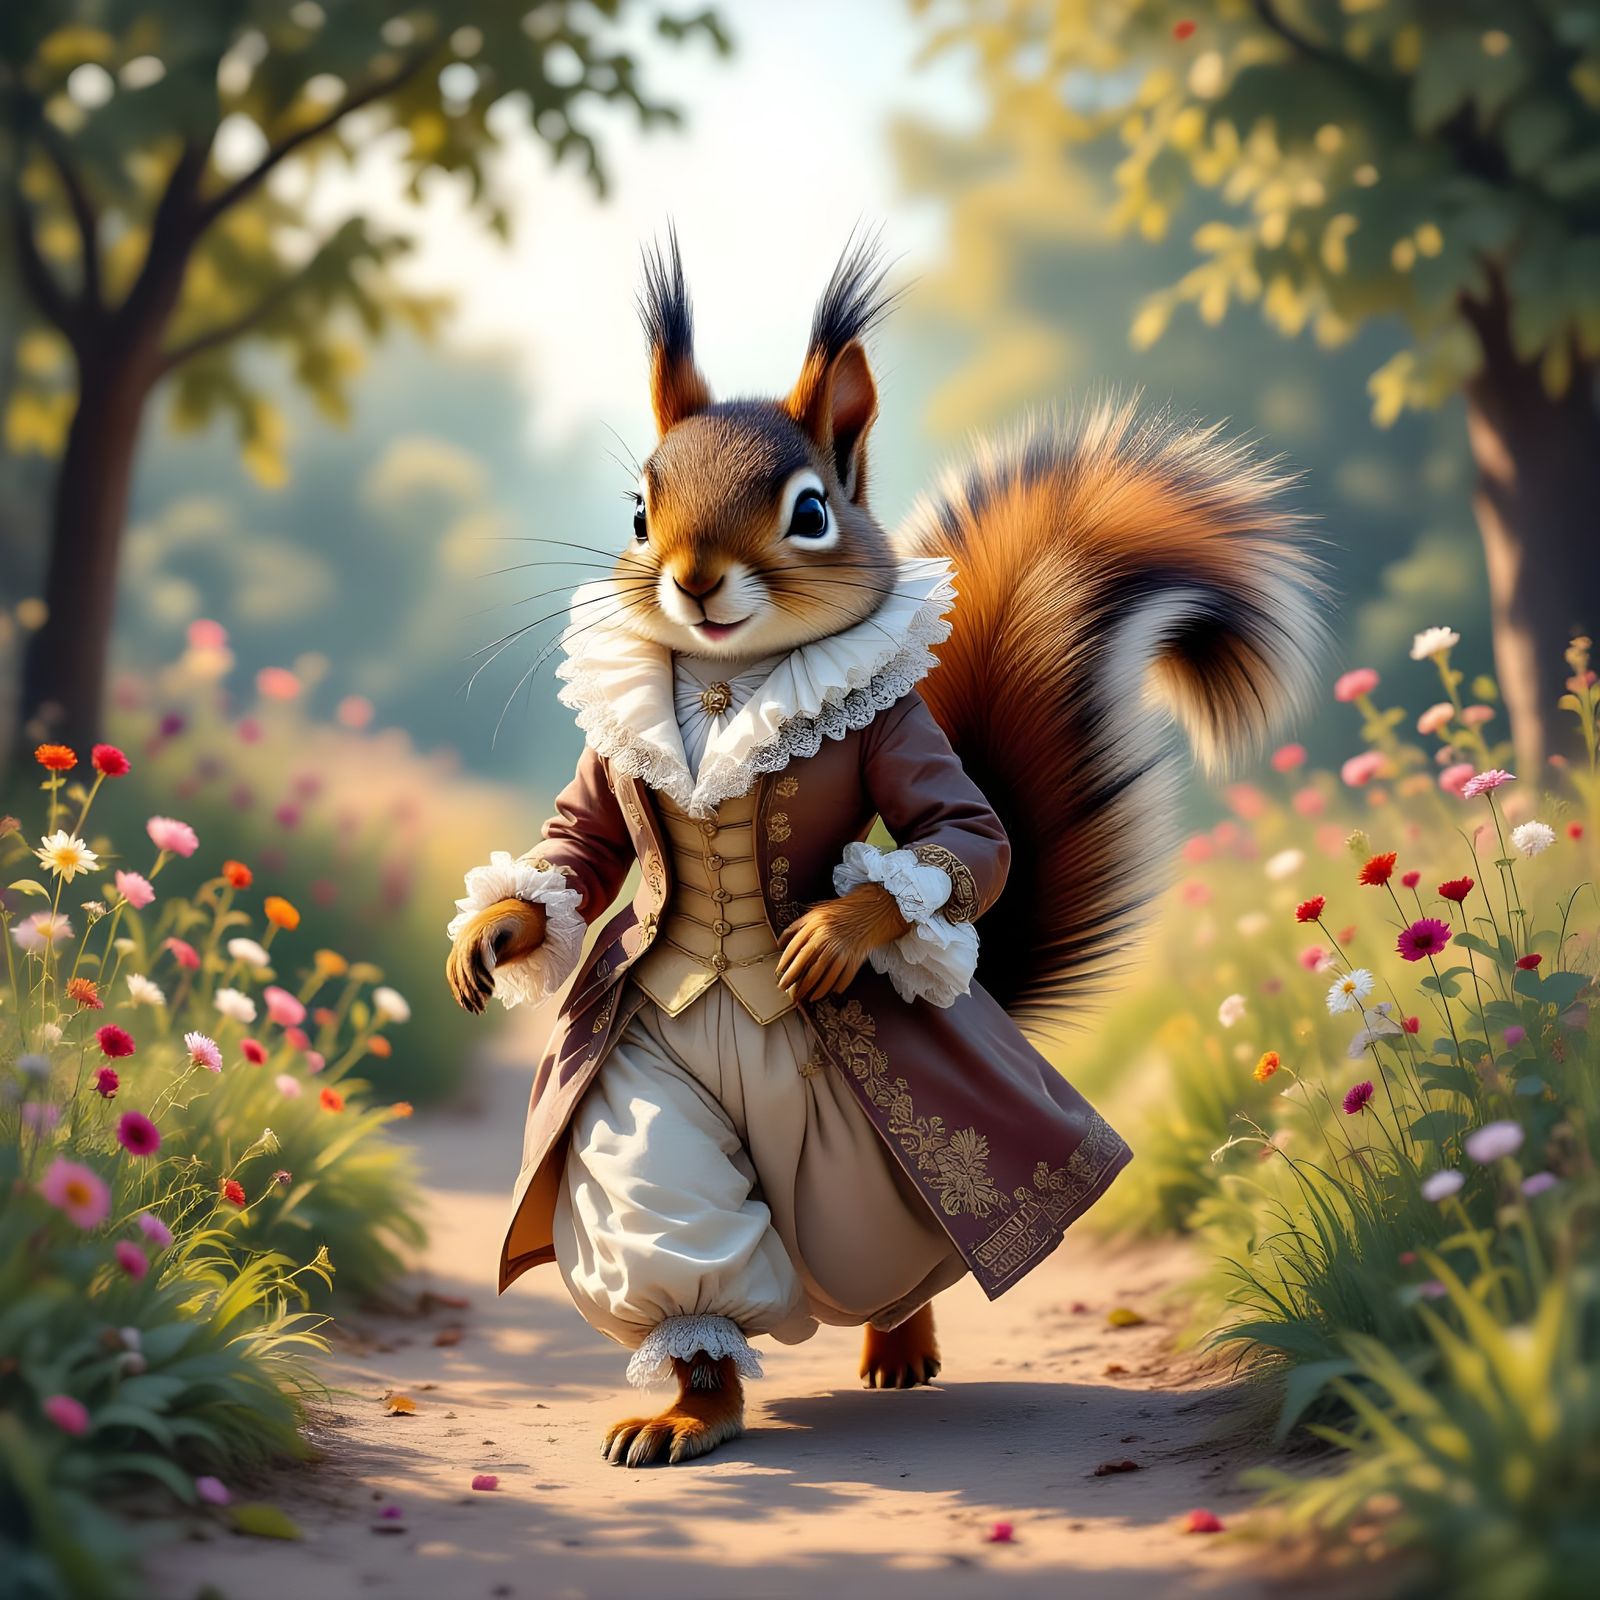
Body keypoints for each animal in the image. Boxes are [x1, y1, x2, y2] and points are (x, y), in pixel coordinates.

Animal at [446, 232, 1322, 1466]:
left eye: (810, 511)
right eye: (637, 512)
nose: (694, 579)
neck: (730, 677)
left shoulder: (899, 744)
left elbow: (962, 839)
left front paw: (840, 926)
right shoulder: (611, 816)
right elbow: (584, 845)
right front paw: (498, 926)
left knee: (898, 1247)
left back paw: (899, 1342)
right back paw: (692, 1406)